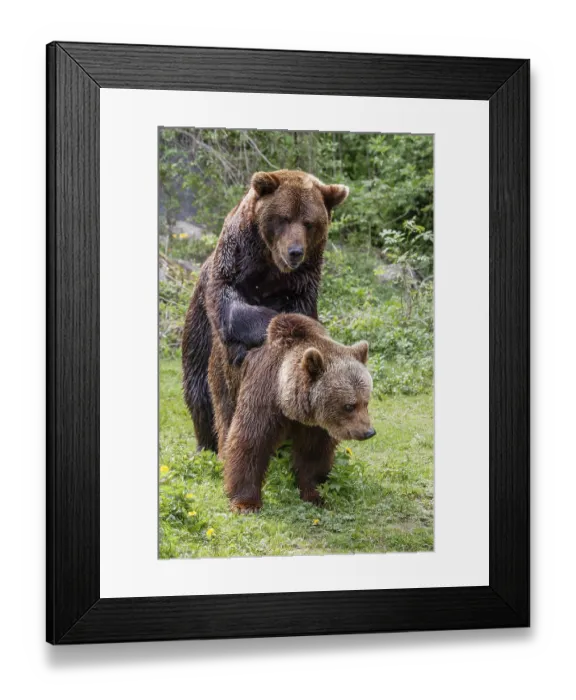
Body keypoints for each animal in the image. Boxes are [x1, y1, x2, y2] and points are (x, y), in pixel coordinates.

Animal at [182, 170, 349, 453]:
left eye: (309, 223)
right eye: (283, 218)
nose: (295, 252)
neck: (269, 267)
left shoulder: (301, 283)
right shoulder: (233, 262)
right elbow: (231, 304)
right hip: (198, 327)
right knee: (200, 388)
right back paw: (207, 444)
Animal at [218, 313, 375, 513]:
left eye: (366, 402)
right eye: (349, 406)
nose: (368, 432)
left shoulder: (316, 426)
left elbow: (313, 454)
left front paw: (315, 494)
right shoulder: (262, 395)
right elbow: (250, 441)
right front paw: (246, 503)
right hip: (225, 379)